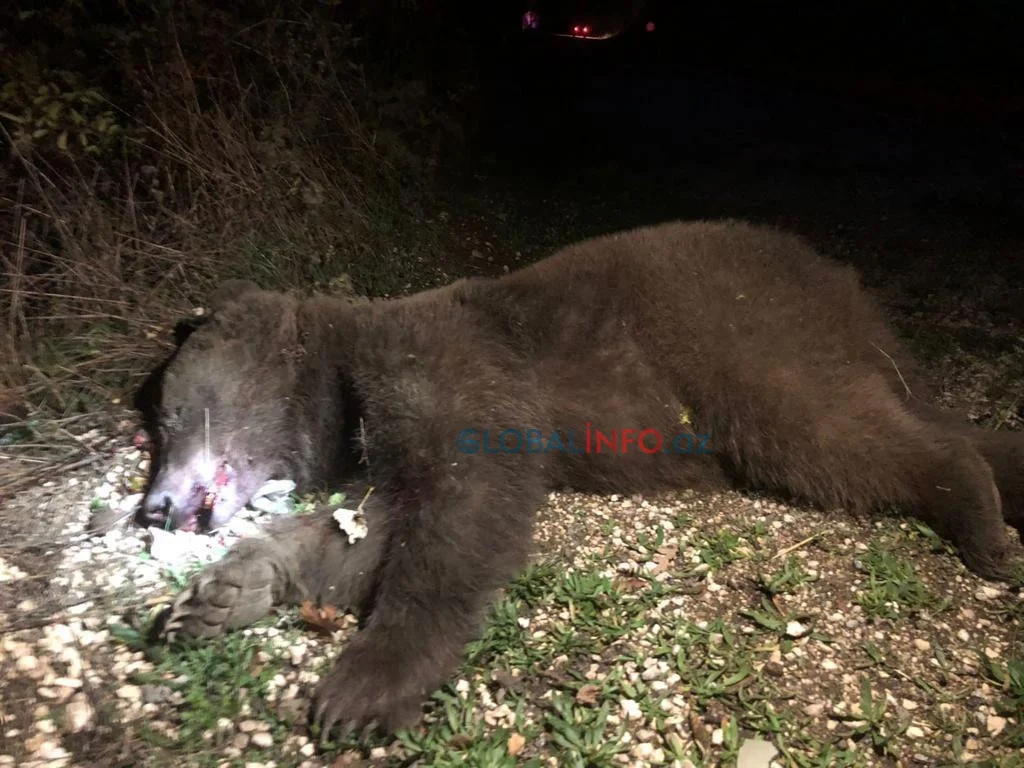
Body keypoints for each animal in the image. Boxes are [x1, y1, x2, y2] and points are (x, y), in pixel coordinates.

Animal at [142, 217, 1024, 741]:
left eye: (167, 413)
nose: (154, 507)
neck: (337, 389)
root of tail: (843, 284)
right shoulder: (386, 443)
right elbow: (372, 525)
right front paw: (221, 595)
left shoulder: (447, 361)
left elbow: (465, 508)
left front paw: (361, 687)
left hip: (740, 332)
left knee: (830, 431)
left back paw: (980, 521)